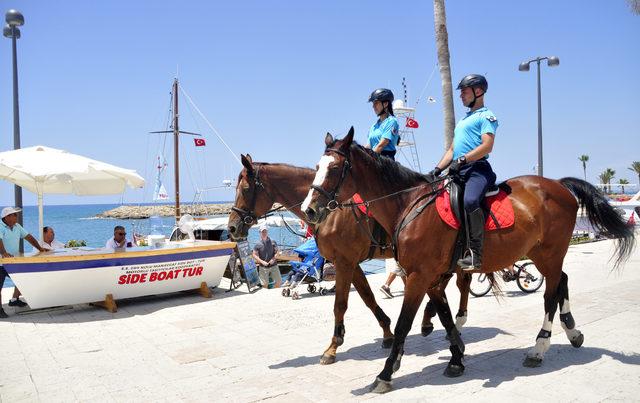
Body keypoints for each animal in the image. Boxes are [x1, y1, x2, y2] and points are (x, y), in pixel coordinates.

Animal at [228, 154, 472, 366]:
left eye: (245, 189)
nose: (231, 227)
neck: (330, 210)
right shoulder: (350, 264)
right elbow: (367, 297)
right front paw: (387, 333)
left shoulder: (344, 263)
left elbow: (340, 304)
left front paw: (333, 347)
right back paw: (433, 318)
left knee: (460, 283)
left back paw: (453, 318)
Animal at [302, 129, 632, 394]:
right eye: (316, 167)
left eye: (333, 168)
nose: (309, 210)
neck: (408, 205)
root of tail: (558, 185)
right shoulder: (429, 276)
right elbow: (445, 316)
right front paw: (457, 358)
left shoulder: (418, 275)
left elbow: (403, 324)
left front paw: (384, 373)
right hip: (542, 253)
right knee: (561, 281)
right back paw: (573, 332)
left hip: (550, 252)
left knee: (550, 294)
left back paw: (539, 348)